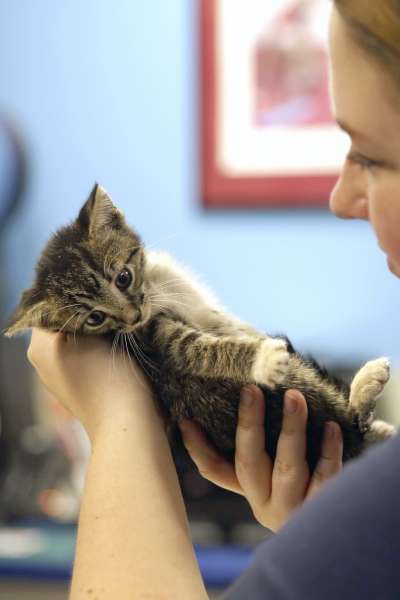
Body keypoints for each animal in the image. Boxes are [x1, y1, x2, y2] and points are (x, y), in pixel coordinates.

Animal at [4, 185, 396, 472]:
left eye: (123, 277)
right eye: (94, 319)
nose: (131, 317)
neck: (155, 289)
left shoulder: (208, 315)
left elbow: (236, 327)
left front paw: (259, 341)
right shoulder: (162, 340)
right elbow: (210, 349)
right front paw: (263, 359)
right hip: (304, 395)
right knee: (351, 422)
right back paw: (366, 388)